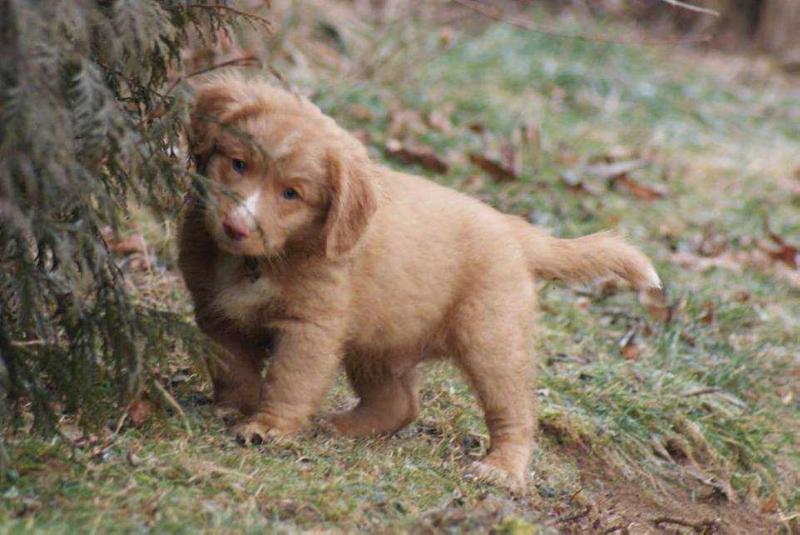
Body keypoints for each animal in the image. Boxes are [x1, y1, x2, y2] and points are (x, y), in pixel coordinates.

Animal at [181, 72, 664, 494]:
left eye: (290, 195)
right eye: (238, 164)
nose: (236, 227)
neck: (260, 261)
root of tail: (514, 230)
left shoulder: (310, 328)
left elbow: (289, 379)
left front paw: (268, 427)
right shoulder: (215, 311)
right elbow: (233, 367)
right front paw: (231, 408)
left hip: (492, 338)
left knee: (516, 412)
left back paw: (502, 469)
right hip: (378, 340)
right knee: (399, 403)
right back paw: (343, 425)